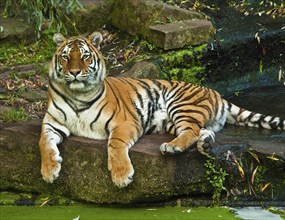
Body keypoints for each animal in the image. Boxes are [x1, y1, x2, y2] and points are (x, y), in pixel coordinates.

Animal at [39, 31, 284, 188]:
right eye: (65, 56)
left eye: (85, 56)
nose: (74, 72)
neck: (77, 95)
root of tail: (216, 93)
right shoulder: (52, 122)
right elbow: (44, 143)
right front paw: (49, 171)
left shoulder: (124, 122)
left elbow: (115, 145)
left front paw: (121, 176)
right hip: (171, 122)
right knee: (200, 131)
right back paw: (205, 144)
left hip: (181, 103)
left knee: (191, 131)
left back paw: (173, 147)